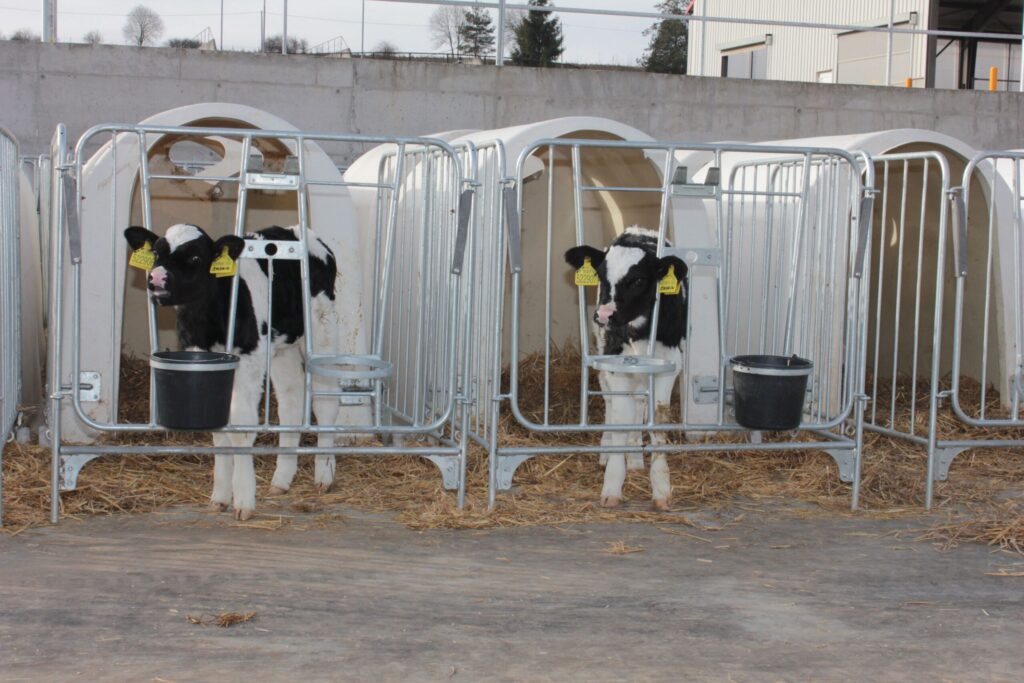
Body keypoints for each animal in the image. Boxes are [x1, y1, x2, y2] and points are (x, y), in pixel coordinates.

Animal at [124, 223, 347, 520]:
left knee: (326, 400)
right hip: (282, 346)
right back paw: (282, 479)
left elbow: (241, 428)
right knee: (291, 398)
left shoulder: (249, 359)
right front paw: (219, 497)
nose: (156, 278)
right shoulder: (203, 361)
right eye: (157, 253)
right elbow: (218, 427)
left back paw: (324, 474)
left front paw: (243, 500)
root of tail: (297, 230)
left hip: (322, 329)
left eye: (195, 257)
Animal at [564, 226, 688, 511]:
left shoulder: (670, 364)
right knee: (611, 401)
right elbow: (620, 417)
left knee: (639, 403)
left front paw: (661, 488)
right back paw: (608, 450)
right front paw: (612, 486)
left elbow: (657, 420)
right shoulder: (614, 363)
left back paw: (634, 456)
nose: (603, 314)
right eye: (601, 275)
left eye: (639, 280)